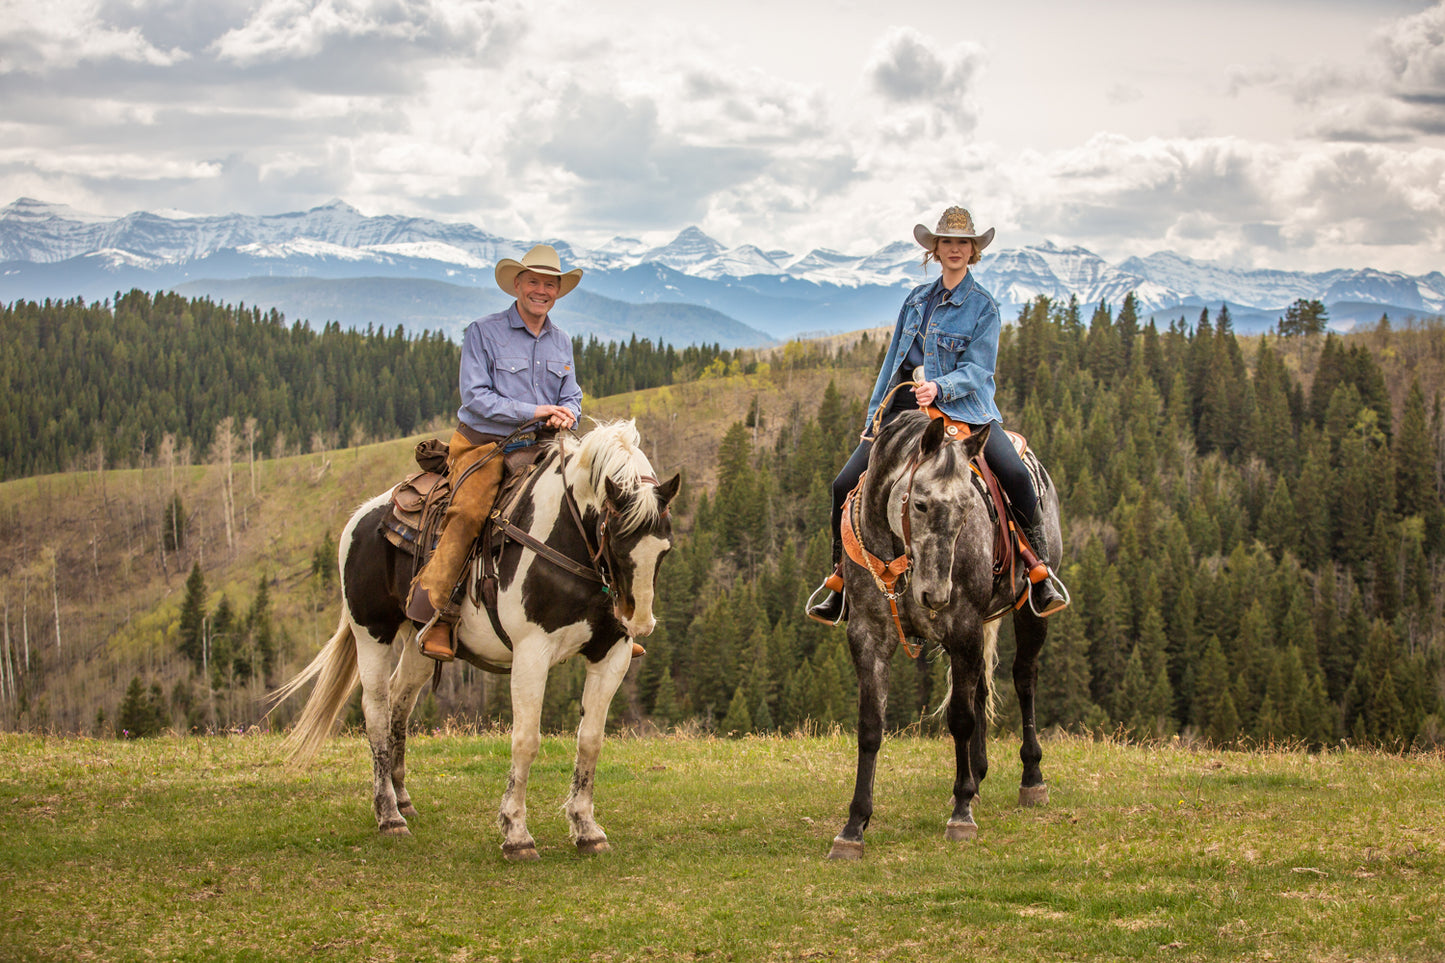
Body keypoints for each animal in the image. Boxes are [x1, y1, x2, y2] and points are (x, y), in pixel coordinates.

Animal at [273, 419, 679, 856]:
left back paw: (403, 799)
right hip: (372, 632)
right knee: (377, 710)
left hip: (419, 640)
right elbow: (525, 740)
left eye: (665, 549)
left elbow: (590, 740)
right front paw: (516, 833)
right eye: (616, 539)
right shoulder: (531, 652)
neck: (567, 540)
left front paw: (587, 828)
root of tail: (360, 517)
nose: (637, 621)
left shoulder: (612, 654)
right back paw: (389, 815)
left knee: (401, 699)